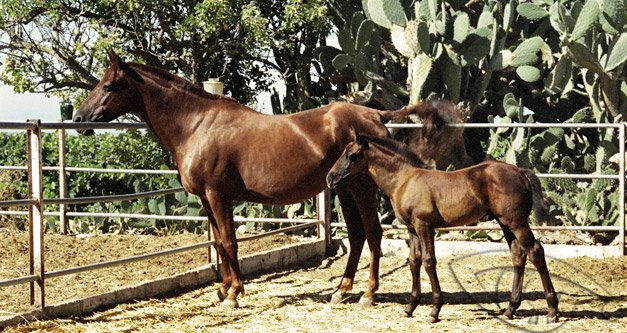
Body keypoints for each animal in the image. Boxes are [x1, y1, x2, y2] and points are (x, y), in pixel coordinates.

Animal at [328, 134, 560, 322]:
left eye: (352, 155)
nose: (330, 178)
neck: (404, 180)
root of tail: (520, 171)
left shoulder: (424, 225)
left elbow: (429, 262)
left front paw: (434, 311)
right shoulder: (412, 229)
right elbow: (414, 262)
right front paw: (410, 308)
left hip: (516, 222)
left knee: (535, 251)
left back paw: (551, 310)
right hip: (505, 223)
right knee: (518, 256)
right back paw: (510, 309)